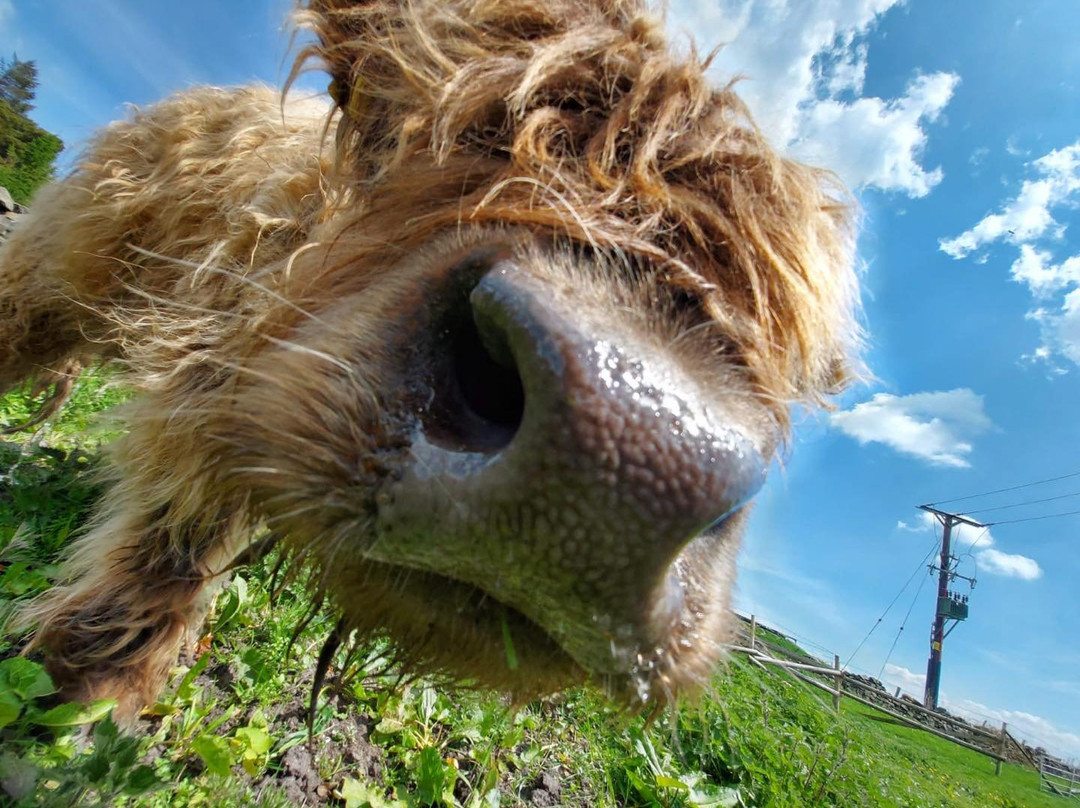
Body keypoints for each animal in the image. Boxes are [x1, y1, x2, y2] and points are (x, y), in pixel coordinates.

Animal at [0, 0, 859, 721]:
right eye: (472, 127)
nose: (628, 454)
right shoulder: (213, 357)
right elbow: (177, 526)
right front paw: (81, 687)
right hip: (52, 264)